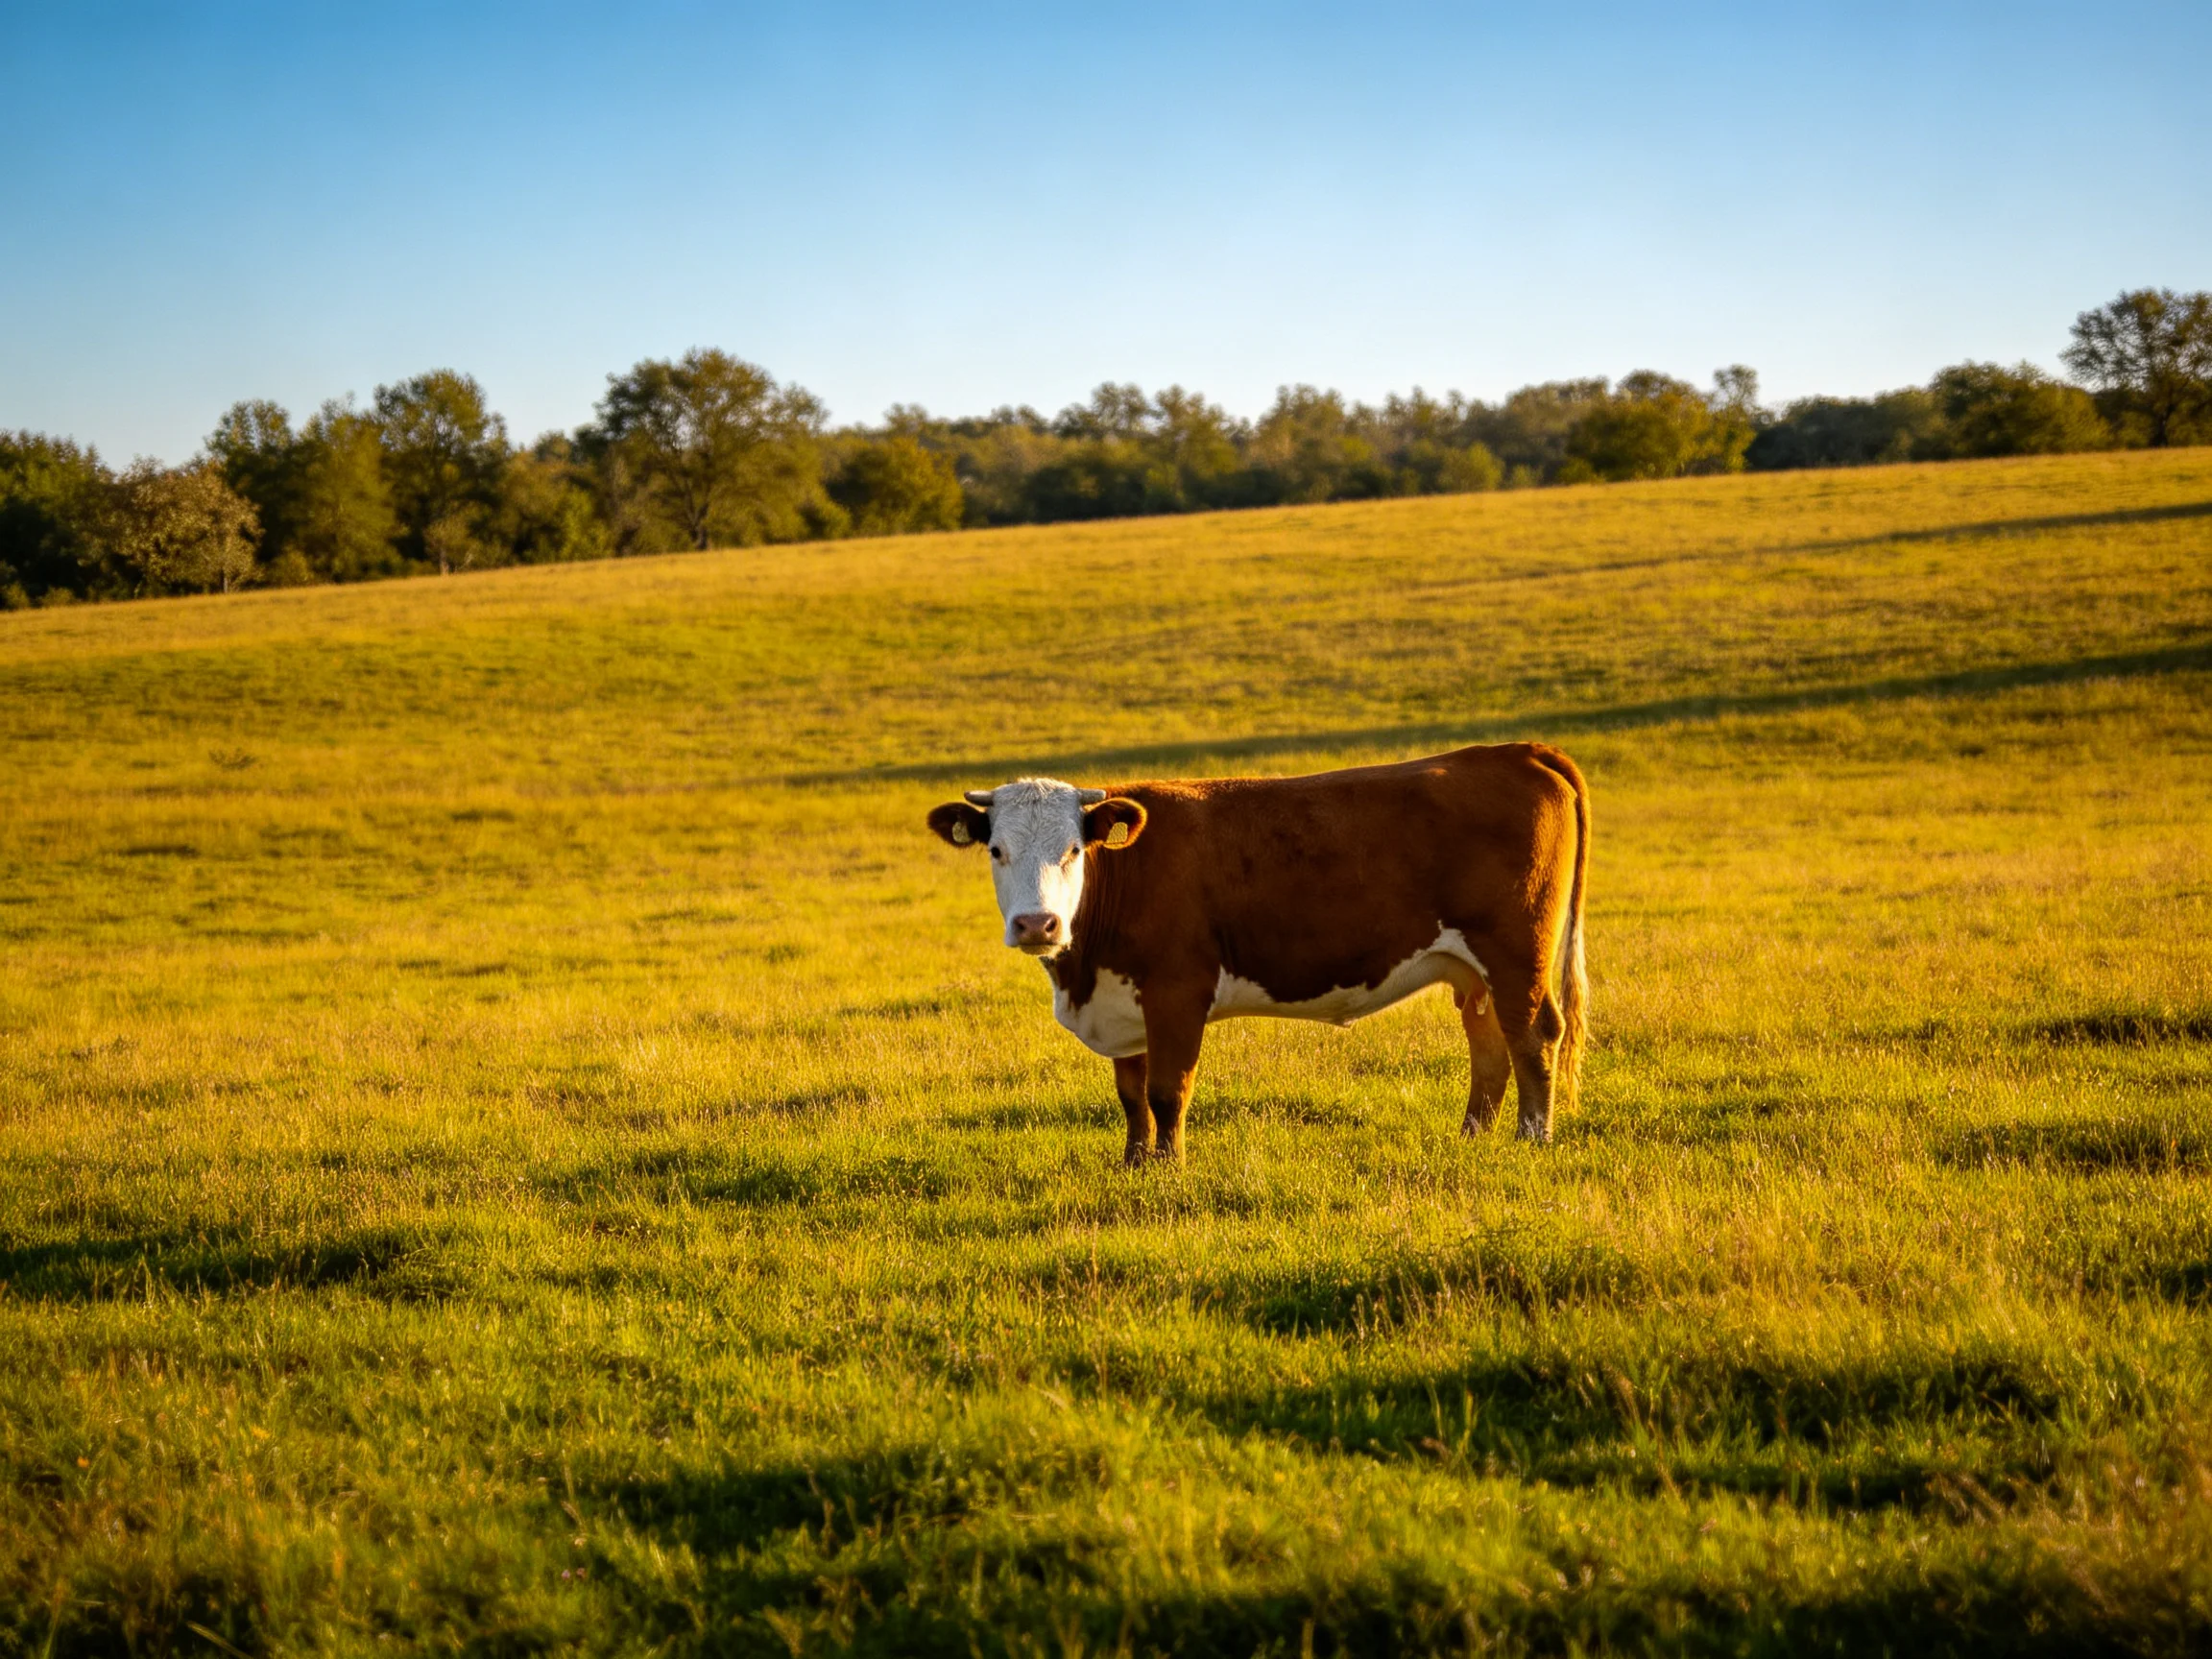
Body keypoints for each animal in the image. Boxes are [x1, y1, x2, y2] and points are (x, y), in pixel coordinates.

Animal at [927, 743, 1589, 1163]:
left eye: (1073, 849)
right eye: (996, 850)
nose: (1037, 923)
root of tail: (1515, 750)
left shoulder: (1177, 992)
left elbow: (1167, 1091)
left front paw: (1169, 1171)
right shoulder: (1123, 1003)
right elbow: (1132, 1096)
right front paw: (1134, 1166)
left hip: (1516, 955)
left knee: (1533, 1035)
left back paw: (1533, 1140)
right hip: (1475, 971)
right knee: (1490, 1046)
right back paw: (1472, 1138)